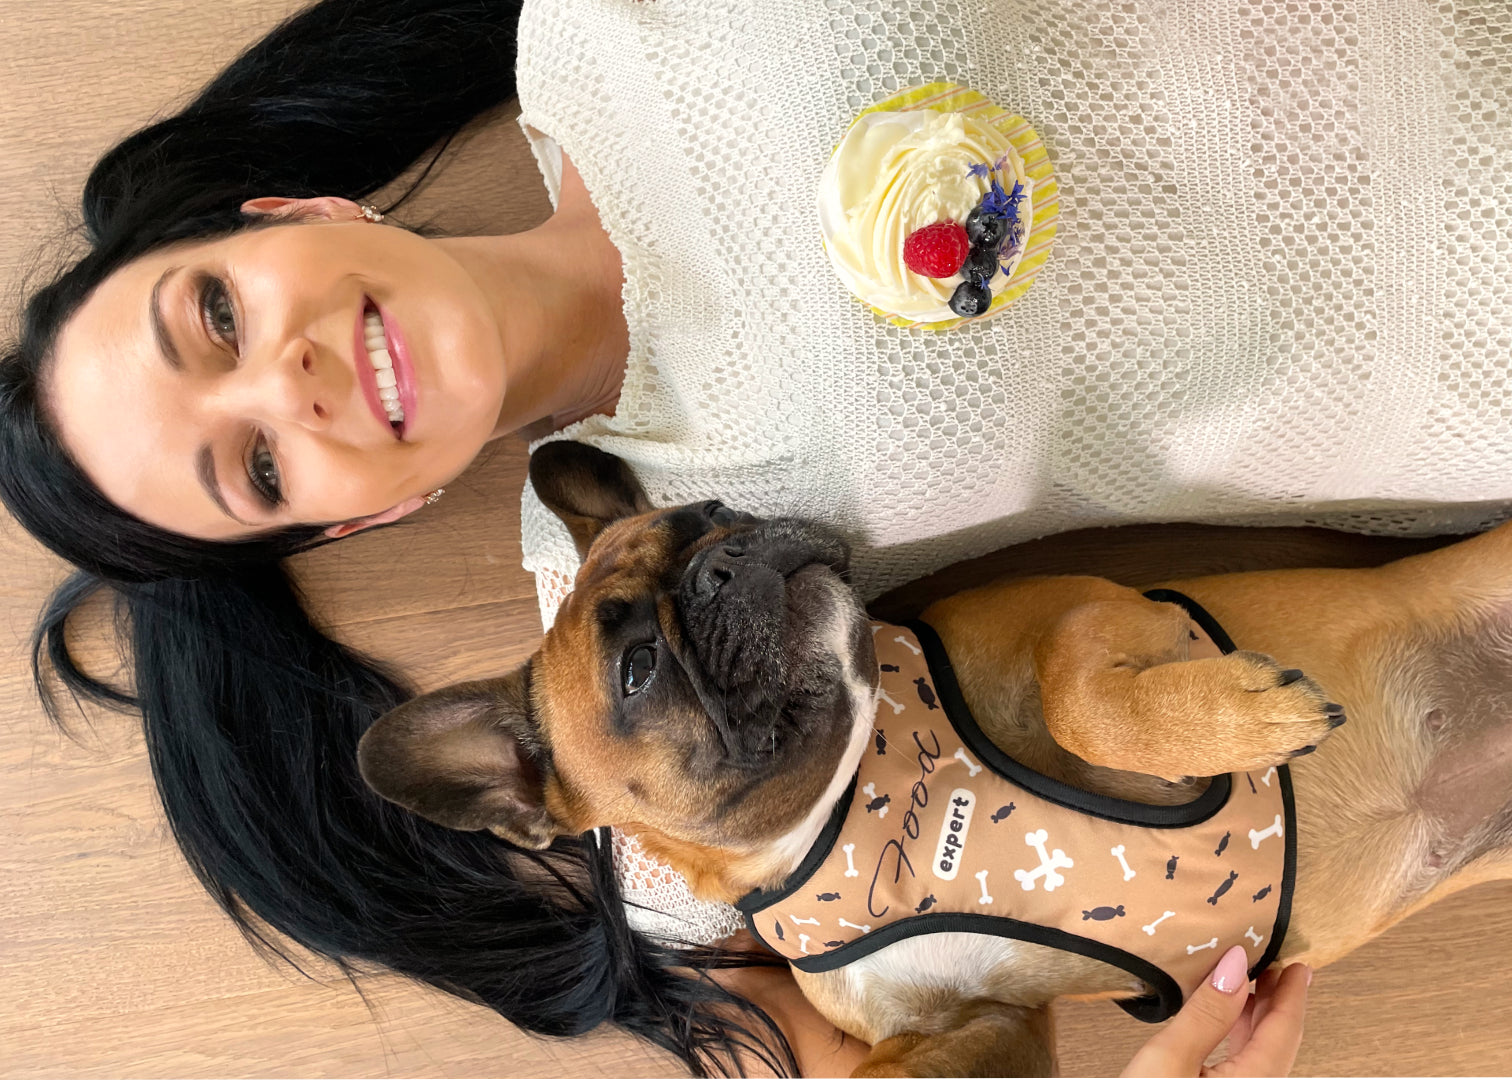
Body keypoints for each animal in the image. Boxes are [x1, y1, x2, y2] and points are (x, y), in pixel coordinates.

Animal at [356, 441, 1512, 1070]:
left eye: (715, 513)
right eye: (637, 668)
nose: (726, 557)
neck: (834, 817)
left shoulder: (1088, 610)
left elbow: (1077, 696)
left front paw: (1241, 719)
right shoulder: (986, 1032)